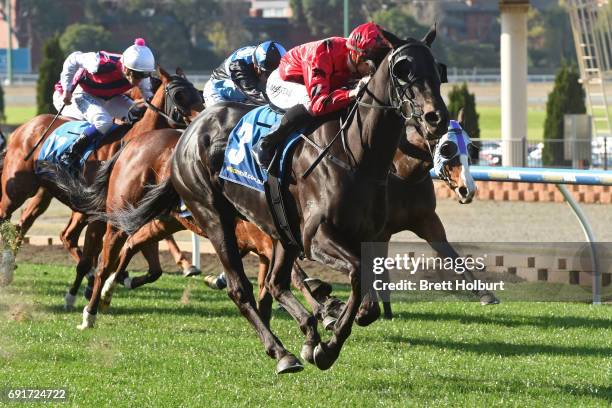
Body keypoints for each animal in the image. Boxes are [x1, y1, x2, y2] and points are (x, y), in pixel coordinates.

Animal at [1, 65, 203, 304]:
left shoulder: (133, 213)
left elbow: (152, 267)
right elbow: (92, 259)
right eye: (179, 95)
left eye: (198, 92)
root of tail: (22, 129)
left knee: (27, 226)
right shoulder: (100, 215)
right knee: (9, 218)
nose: (202, 119)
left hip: (46, 193)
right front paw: (78, 293)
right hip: (16, 189)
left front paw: (117, 280)